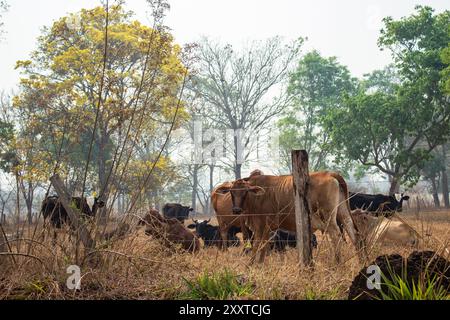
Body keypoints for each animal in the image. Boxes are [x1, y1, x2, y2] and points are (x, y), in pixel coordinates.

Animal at [216, 171, 368, 264]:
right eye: (231, 192)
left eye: (245, 192)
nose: (236, 209)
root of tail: (328, 173)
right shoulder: (269, 228)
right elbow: (264, 246)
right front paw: (260, 264)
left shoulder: (261, 225)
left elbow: (258, 245)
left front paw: (251, 264)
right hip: (343, 212)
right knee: (354, 234)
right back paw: (361, 262)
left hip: (329, 216)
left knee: (336, 235)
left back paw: (337, 263)